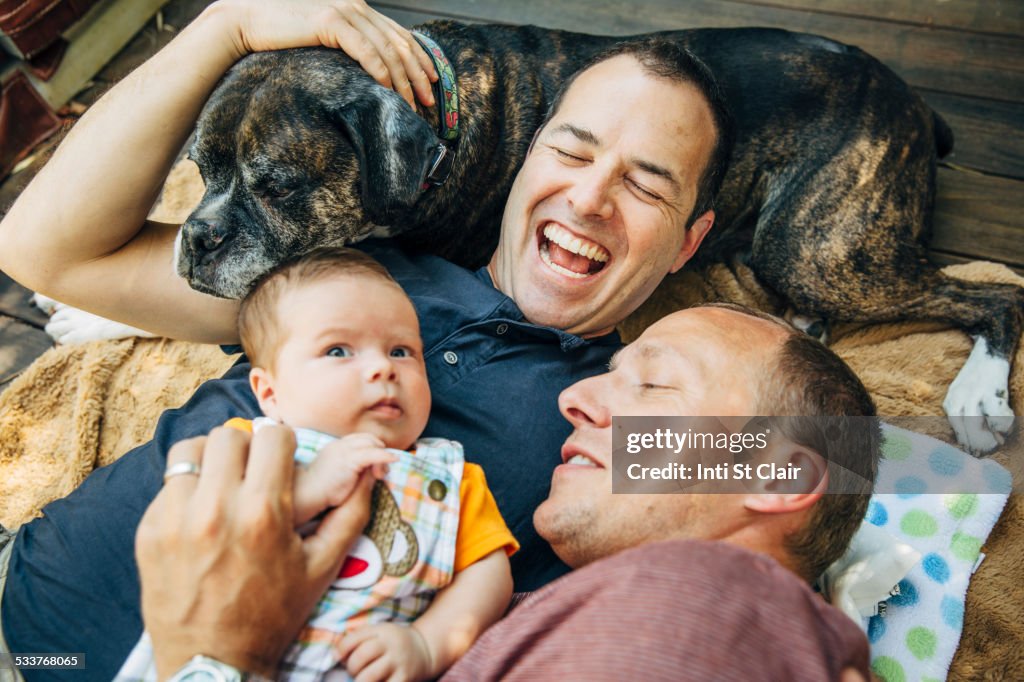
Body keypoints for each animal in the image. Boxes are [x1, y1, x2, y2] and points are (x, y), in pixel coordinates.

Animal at [165, 21, 1015, 450]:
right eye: (198, 168)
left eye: (277, 186)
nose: (197, 240)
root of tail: (912, 101)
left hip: (820, 250)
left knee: (996, 299)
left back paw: (979, 396)